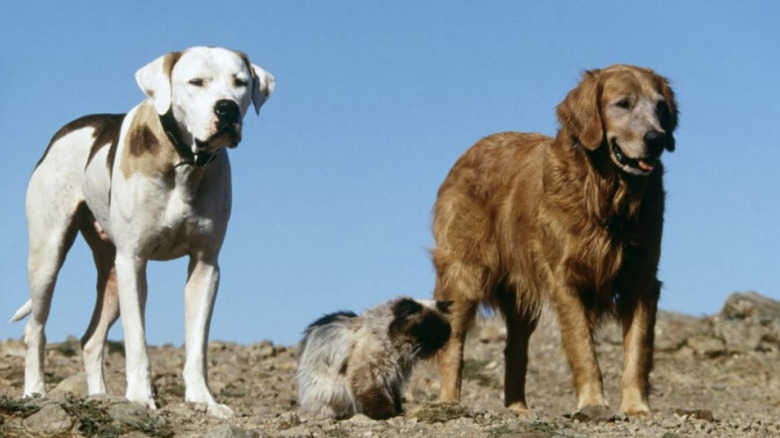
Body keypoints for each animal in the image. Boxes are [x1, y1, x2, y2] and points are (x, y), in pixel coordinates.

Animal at [10, 47, 276, 418]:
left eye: (241, 83)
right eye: (196, 82)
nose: (227, 108)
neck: (184, 161)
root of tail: (64, 132)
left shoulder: (205, 265)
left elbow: (198, 344)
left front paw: (203, 400)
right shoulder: (134, 260)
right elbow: (137, 339)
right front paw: (139, 397)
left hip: (111, 274)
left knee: (91, 340)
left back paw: (99, 396)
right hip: (48, 256)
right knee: (35, 329)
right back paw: (34, 391)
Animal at [432, 64, 676, 418]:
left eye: (660, 106)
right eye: (623, 104)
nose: (656, 139)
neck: (606, 195)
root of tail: (468, 153)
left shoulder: (641, 280)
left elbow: (638, 349)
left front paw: (636, 407)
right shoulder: (565, 279)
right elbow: (583, 347)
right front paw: (593, 403)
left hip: (520, 295)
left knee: (515, 351)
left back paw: (518, 409)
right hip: (465, 273)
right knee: (454, 343)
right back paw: (449, 402)